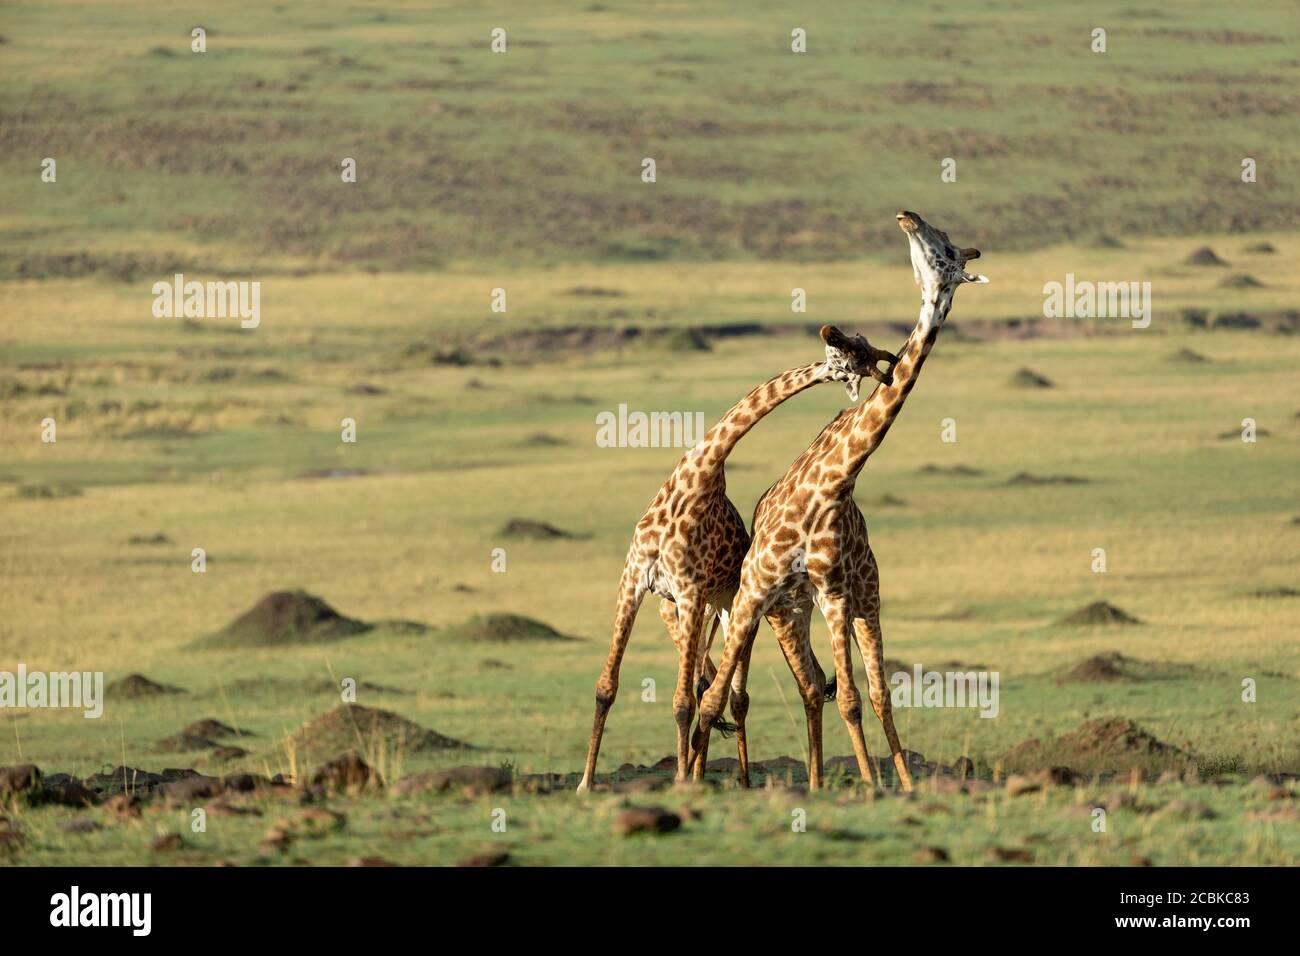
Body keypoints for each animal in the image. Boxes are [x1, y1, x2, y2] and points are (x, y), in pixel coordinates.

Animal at [574, 329, 899, 790]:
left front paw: (682, 780)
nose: (886, 367)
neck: (696, 477)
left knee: (733, 693)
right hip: (689, 609)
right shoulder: (635, 580)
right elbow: (607, 686)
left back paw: (737, 780)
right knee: (709, 682)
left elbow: (682, 701)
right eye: (854, 352)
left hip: (731, 609)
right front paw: (585, 783)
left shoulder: (690, 591)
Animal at [691, 209, 982, 790]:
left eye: (945, 246)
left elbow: (851, 697)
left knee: (869, 692)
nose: (908, 217)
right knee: (807, 685)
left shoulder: (834, 592)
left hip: (862, 598)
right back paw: (816, 780)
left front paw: (874, 786)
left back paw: (875, 782)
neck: (832, 484)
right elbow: (715, 699)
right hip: (786, 611)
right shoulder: (757, 592)